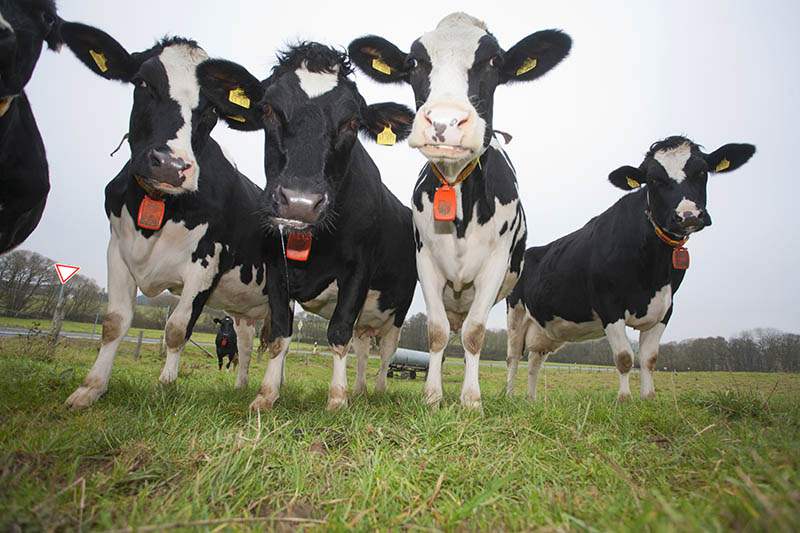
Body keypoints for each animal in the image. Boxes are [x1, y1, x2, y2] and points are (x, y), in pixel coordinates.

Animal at [58, 22, 272, 410]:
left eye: (212, 107)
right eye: (142, 82)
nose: (171, 166)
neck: (159, 205)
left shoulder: (206, 262)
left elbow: (177, 329)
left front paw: (164, 388)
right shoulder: (117, 250)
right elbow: (114, 322)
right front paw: (89, 389)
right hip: (244, 304)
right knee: (247, 344)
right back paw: (240, 387)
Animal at [348, 12, 568, 406]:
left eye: (494, 60)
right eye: (414, 62)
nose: (445, 123)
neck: (460, 197)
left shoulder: (495, 265)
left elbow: (475, 333)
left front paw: (471, 399)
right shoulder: (426, 262)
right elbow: (436, 332)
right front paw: (432, 396)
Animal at [506, 135, 756, 402]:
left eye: (701, 171)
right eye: (654, 179)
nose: (688, 215)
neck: (652, 271)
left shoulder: (665, 308)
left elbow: (649, 358)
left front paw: (648, 397)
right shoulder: (609, 305)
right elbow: (625, 357)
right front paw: (624, 398)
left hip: (546, 329)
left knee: (535, 360)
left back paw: (531, 399)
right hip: (516, 313)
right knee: (514, 357)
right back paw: (509, 395)